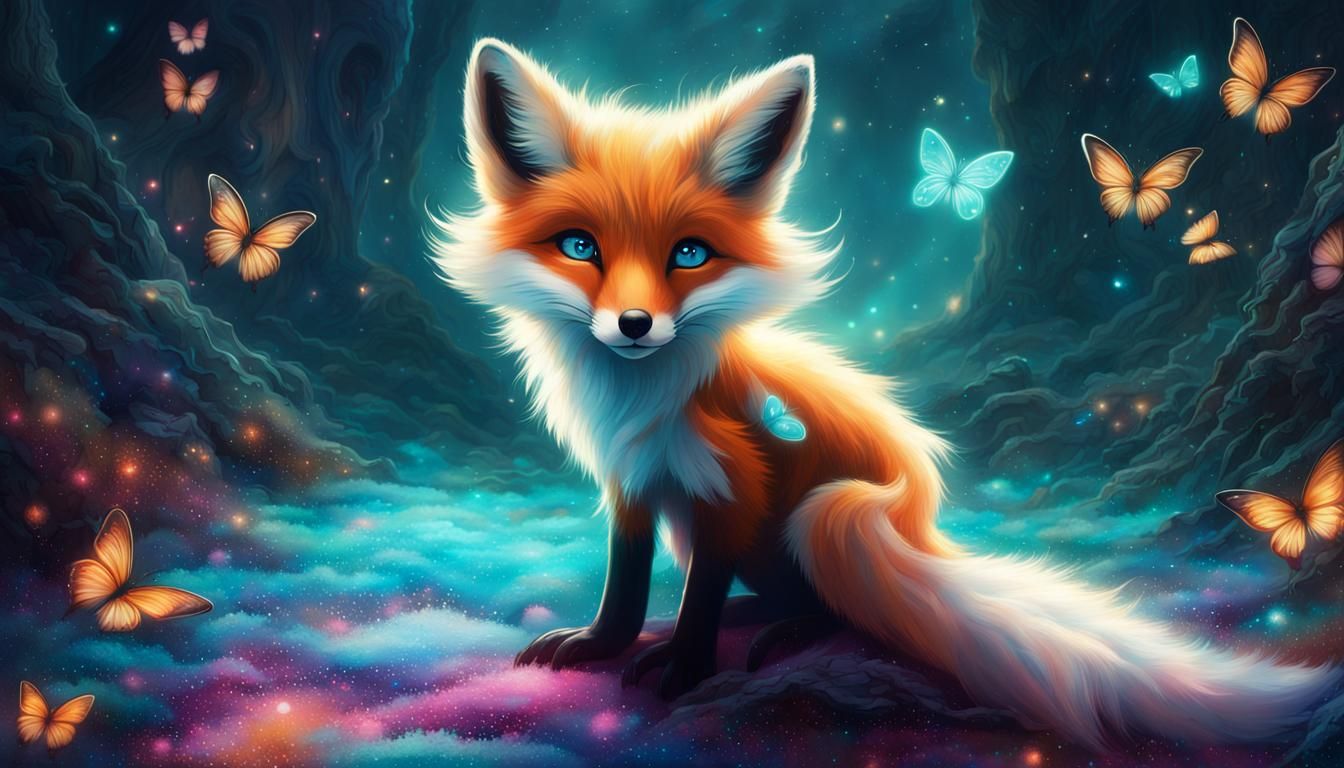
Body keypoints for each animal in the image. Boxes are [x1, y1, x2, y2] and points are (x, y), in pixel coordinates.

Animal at [431, 39, 1340, 749]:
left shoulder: (731, 482)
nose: (633, 324)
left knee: (841, 611)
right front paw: (600, 644)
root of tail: (922, 533)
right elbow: (624, 587)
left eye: (688, 254)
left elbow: (694, 605)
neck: (637, 401)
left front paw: (684, 665)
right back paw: (758, 619)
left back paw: (783, 629)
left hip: (828, 514)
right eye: (579, 246)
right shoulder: (633, 482)